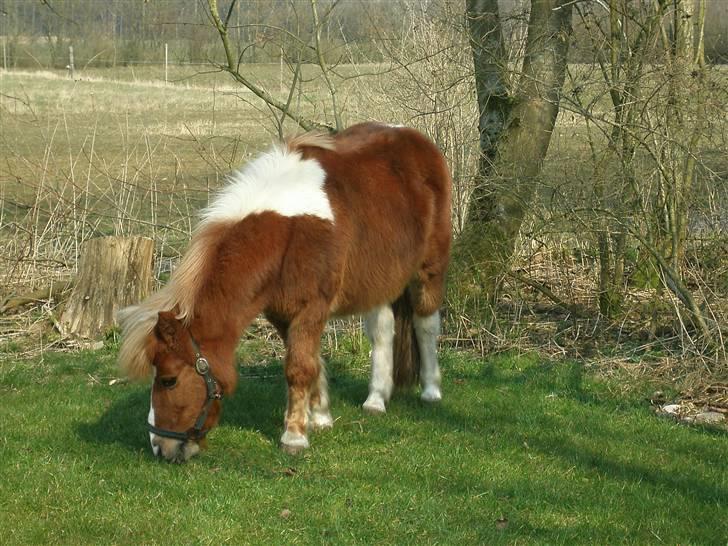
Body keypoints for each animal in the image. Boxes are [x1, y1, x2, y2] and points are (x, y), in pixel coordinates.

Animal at [117, 122, 452, 463]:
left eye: (169, 380)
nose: (160, 447)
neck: (286, 233)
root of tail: (415, 140)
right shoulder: (282, 313)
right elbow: (309, 361)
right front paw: (319, 417)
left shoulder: (311, 309)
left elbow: (299, 367)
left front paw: (294, 436)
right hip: (379, 281)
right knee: (383, 332)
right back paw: (376, 400)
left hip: (429, 270)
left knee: (426, 325)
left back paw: (431, 391)